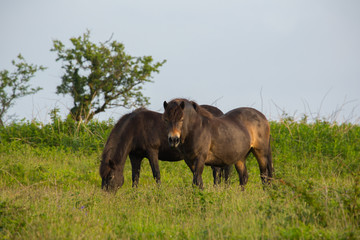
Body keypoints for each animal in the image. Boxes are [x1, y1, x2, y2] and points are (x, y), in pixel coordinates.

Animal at [99, 105, 228, 191]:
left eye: (110, 177)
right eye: (102, 177)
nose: (106, 195)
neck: (135, 127)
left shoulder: (152, 151)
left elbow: (156, 173)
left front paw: (159, 192)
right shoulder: (135, 156)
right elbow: (135, 176)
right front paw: (134, 194)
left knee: (216, 172)